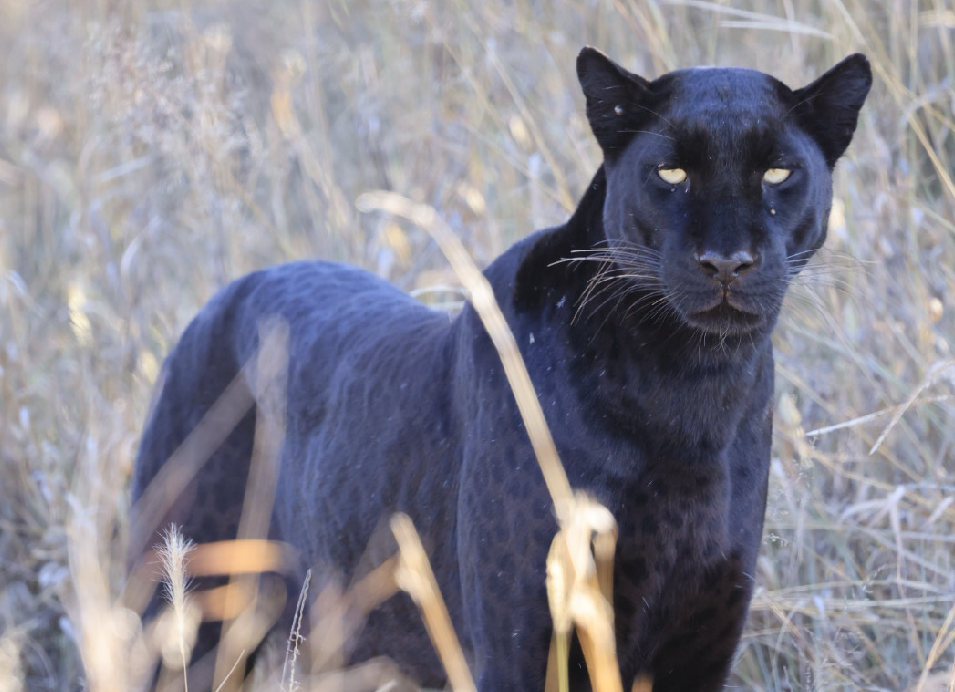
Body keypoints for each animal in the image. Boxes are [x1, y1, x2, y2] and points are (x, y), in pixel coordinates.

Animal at [130, 47, 871, 690]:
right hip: (183, 618)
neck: (690, 388)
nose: (725, 260)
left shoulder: (701, 636)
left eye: (777, 173)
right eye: (670, 173)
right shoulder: (525, 637)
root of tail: (223, 298)